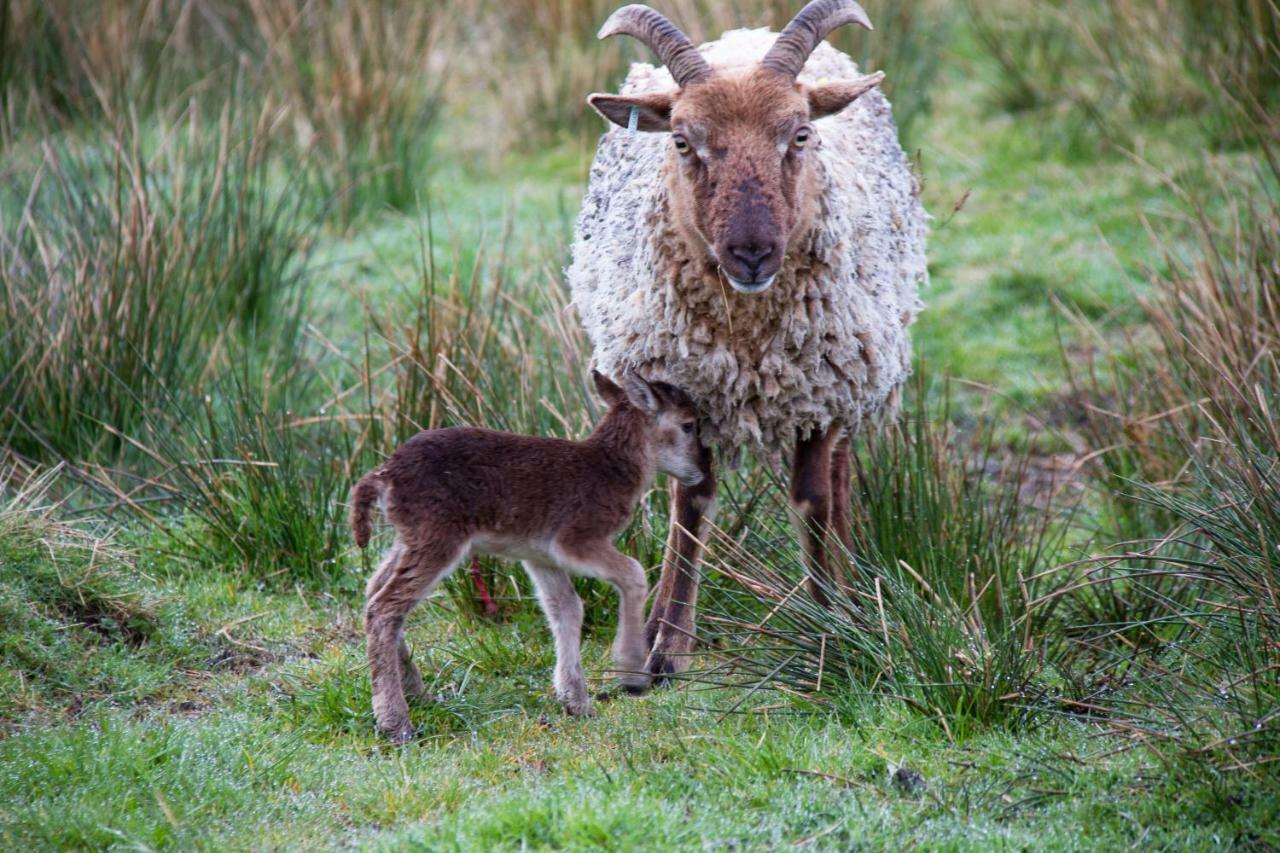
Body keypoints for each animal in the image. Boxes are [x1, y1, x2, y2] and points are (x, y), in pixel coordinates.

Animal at [353, 371, 701, 737]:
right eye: (689, 425)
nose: (700, 472)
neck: (613, 470)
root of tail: (383, 476)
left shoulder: (538, 555)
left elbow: (567, 608)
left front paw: (576, 702)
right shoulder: (575, 538)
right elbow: (633, 572)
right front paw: (632, 673)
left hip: (408, 538)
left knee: (373, 589)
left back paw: (417, 692)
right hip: (438, 536)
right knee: (385, 607)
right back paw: (396, 723)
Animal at [573, 3, 931, 676]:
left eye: (801, 135)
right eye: (682, 141)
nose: (752, 252)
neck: (748, 345)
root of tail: (748, 35)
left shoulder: (822, 389)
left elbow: (813, 500)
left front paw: (830, 630)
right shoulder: (681, 387)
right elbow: (692, 502)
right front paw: (665, 644)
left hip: (857, 369)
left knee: (840, 476)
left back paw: (853, 587)